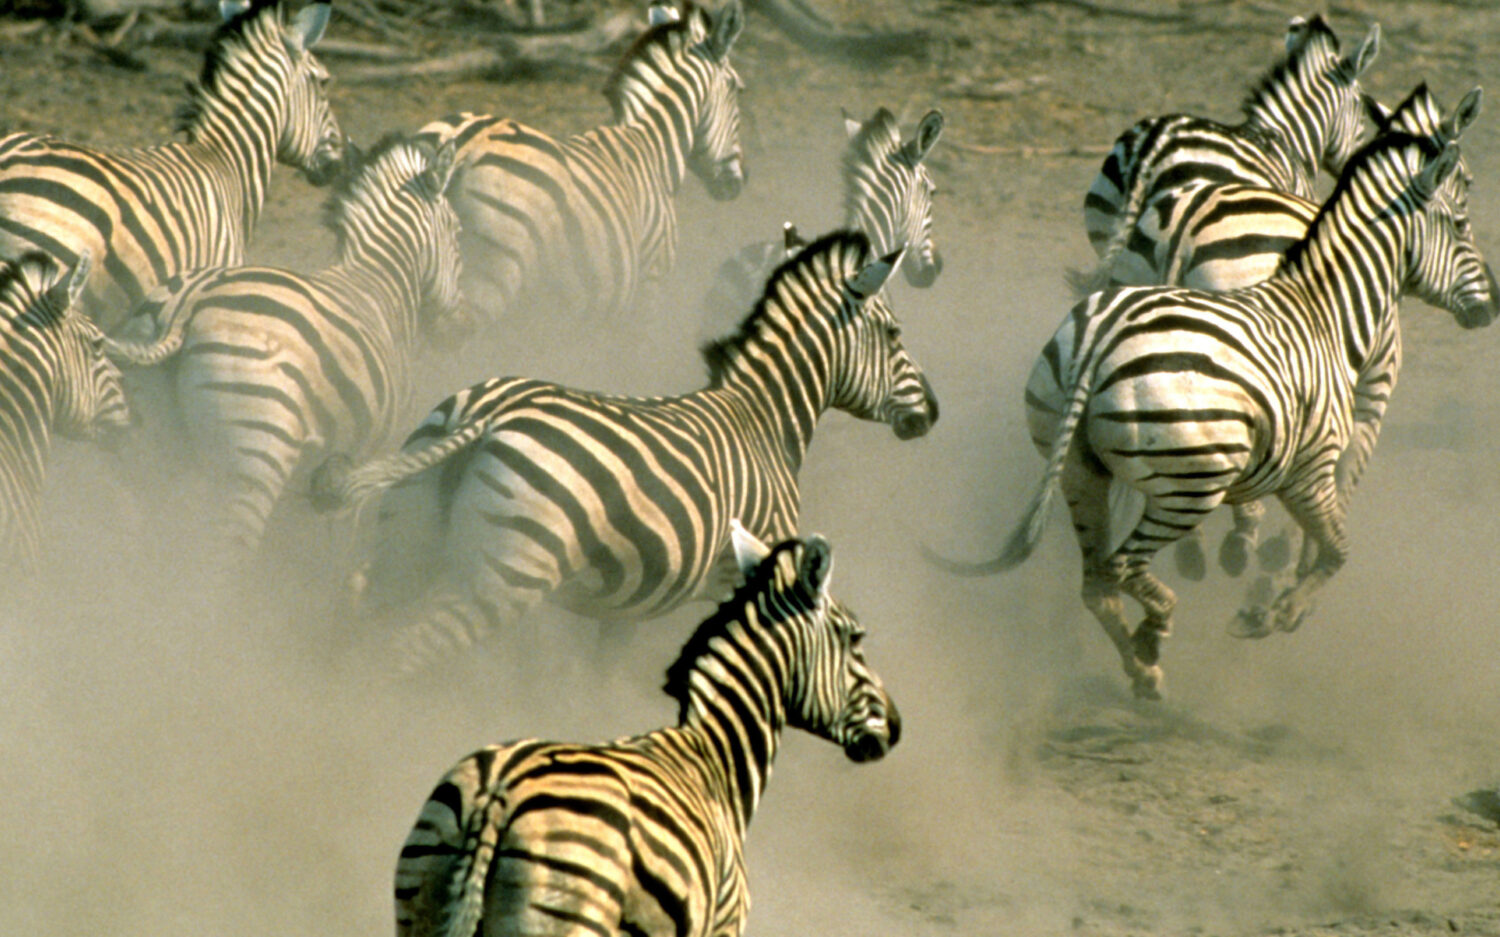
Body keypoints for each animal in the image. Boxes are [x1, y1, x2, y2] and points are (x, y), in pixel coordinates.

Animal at [102, 134, 467, 552]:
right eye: (458, 232)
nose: (464, 329)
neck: (380, 285)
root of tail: (188, 303)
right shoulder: (363, 461)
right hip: (254, 458)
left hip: (151, 457)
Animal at [309, 229, 938, 667]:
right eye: (895, 334)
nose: (931, 412)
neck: (763, 420)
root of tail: (489, 415)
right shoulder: (746, 574)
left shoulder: (639, 595)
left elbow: (601, 673)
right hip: (504, 578)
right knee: (404, 654)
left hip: (409, 544)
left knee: (356, 608)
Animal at [391, 526, 899, 937]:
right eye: (856, 638)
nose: (895, 727)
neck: (717, 758)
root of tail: (497, 795)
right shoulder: (723, 926)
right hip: (571, 913)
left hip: (423, 894)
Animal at [416, 0, 746, 327]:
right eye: (737, 89)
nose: (740, 181)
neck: (652, 145)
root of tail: (464, 142)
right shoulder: (651, 284)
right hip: (490, 278)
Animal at [930, 127, 1496, 700]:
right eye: (1461, 223)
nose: (1492, 305)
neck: (1326, 312)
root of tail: (1099, 341)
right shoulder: (1312, 469)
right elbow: (1335, 550)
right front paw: (1273, 613)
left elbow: (1324, 547)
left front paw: (1273, 603)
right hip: (1190, 488)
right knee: (1123, 565)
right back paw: (1155, 633)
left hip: (1077, 468)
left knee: (1098, 584)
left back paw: (1145, 676)